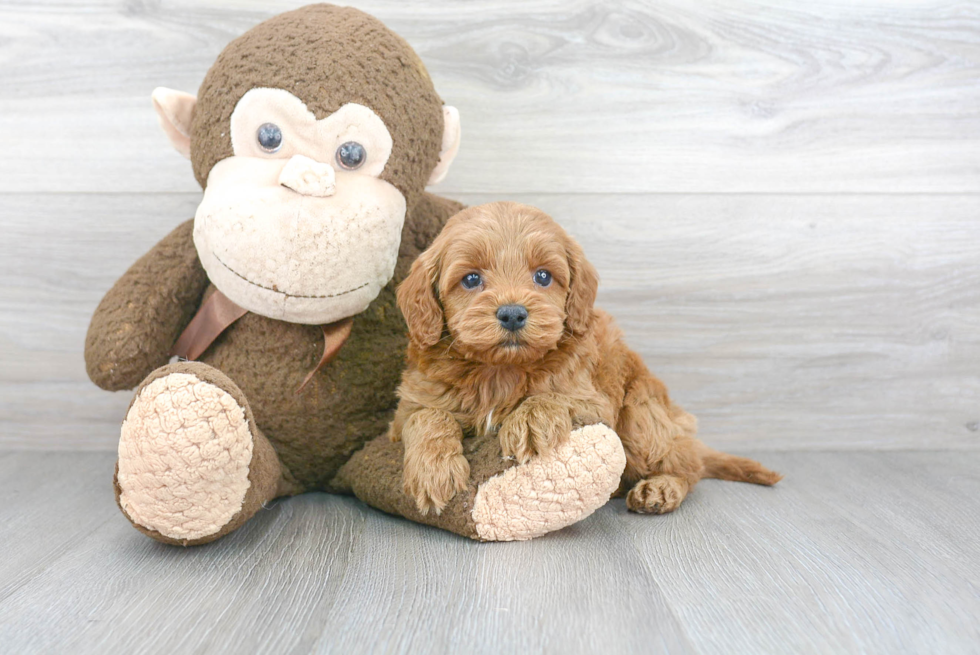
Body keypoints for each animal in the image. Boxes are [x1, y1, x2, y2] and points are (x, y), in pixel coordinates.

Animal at [390, 201, 780, 516]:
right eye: (471, 279)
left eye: (543, 276)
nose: (513, 314)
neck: (500, 370)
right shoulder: (407, 410)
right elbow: (427, 417)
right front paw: (433, 470)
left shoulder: (594, 400)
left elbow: (552, 395)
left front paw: (529, 419)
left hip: (641, 415)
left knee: (687, 464)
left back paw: (662, 488)